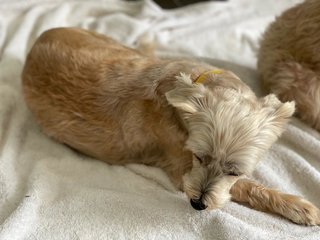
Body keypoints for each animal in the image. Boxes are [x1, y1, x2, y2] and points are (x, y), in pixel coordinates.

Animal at [21, 27, 320, 225]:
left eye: (234, 171)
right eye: (198, 157)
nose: (198, 204)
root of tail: (39, 39)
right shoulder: (183, 173)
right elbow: (250, 188)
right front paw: (300, 207)